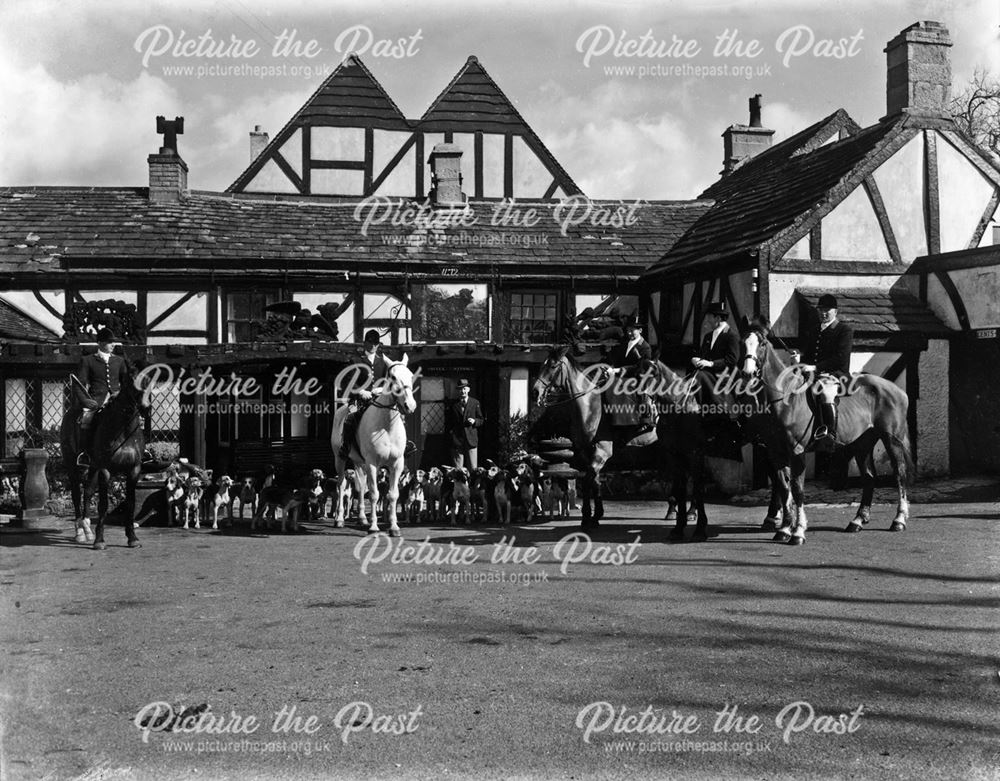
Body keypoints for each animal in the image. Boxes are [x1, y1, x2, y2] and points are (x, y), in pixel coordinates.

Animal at [59, 360, 150, 548]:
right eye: (131, 380)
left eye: (148, 379)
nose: (146, 407)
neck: (123, 429)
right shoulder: (105, 470)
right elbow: (103, 505)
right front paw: (100, 541)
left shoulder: (134, 469)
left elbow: (130, 504)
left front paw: (132, 538)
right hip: (73, 465)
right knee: (76, 494)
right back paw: (80, 532)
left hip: (92, 467)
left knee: (87, 491)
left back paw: (87, 529)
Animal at [330, 358, 416, 536]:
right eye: (392, 377)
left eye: (411, 375)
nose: (410, 405)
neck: (386, 426)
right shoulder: (372, 464)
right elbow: (375, 494)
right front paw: (374, 527)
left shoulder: (396, 464)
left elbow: (392, 495)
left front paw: (394, 527)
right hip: (340, 459)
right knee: (341, 484)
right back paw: (339, 519)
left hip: (359, 462)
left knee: (361, 485)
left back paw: (362, 518)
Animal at [740, 324, 912, 544]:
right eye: (743, 342)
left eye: (761, 344)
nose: (747, 372)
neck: (786, 398)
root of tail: (897, 389)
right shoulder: (776, 452)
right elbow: (784, 488)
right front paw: (785, 529)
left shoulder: (797, 451)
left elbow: (797, 490)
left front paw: (798, 532)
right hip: (862, 443)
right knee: (869, 478)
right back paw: (857, 521)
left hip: (891, 440)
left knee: (900, 474)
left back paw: (899, 520)